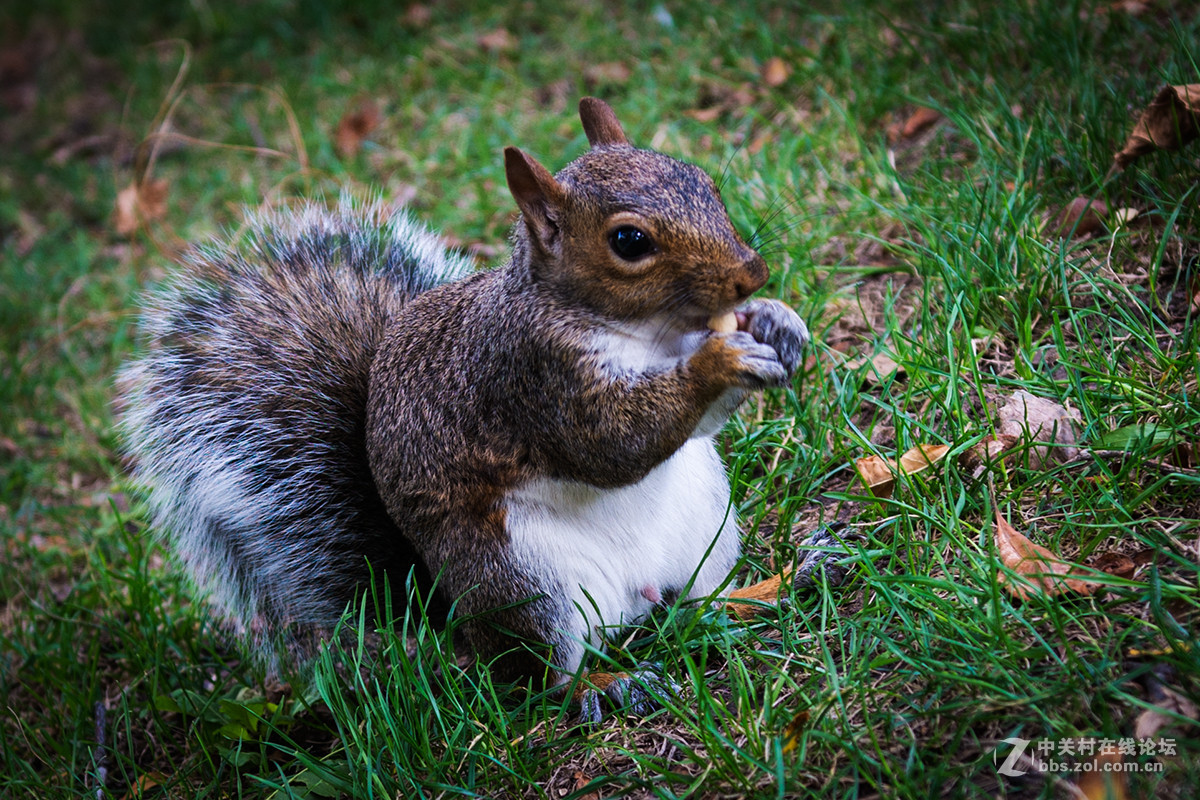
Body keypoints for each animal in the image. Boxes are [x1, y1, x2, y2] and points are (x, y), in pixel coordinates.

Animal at [117, 97, 811, 705]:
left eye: (705, 182)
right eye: (630, 242)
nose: (752, 274)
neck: (650, 332)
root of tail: (454, 628)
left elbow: (695, 423)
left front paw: (776, 321)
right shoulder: (531, 376)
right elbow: (612, 445)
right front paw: (720, 359)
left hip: (705, 520)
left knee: (694, 599)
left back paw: (775, 585)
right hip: (525, 581)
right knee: (535, 680)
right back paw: (603, 685)